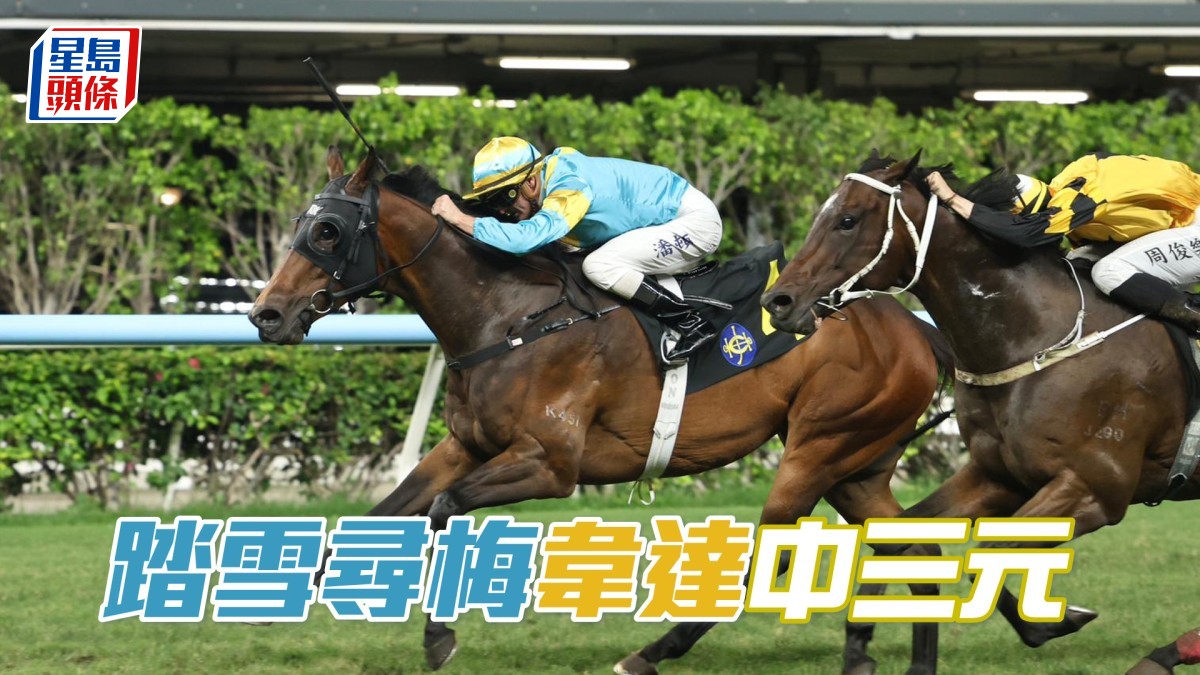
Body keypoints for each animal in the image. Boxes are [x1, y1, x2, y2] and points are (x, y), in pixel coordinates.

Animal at [249, 145, 948, 674]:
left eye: (328, 232)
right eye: (301, 224)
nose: (266, 314)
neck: (506, 316)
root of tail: (913, 325)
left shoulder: (550, 464)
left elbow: (445, 511)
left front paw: (438, 637)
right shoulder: (465, 447)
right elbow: (377, 515)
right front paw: (271, 599)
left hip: (820, 447)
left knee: (769, 557)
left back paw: (650, 653)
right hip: (855, 464)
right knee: (915, 549)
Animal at [760, 150, 1200, 674]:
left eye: (847, 219)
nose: (777, 302)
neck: (1035, 338)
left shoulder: (1093, 489)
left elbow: (986, 552)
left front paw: (1053, 622)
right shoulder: (997, 476)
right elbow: (900, 536)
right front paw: (861, 642)